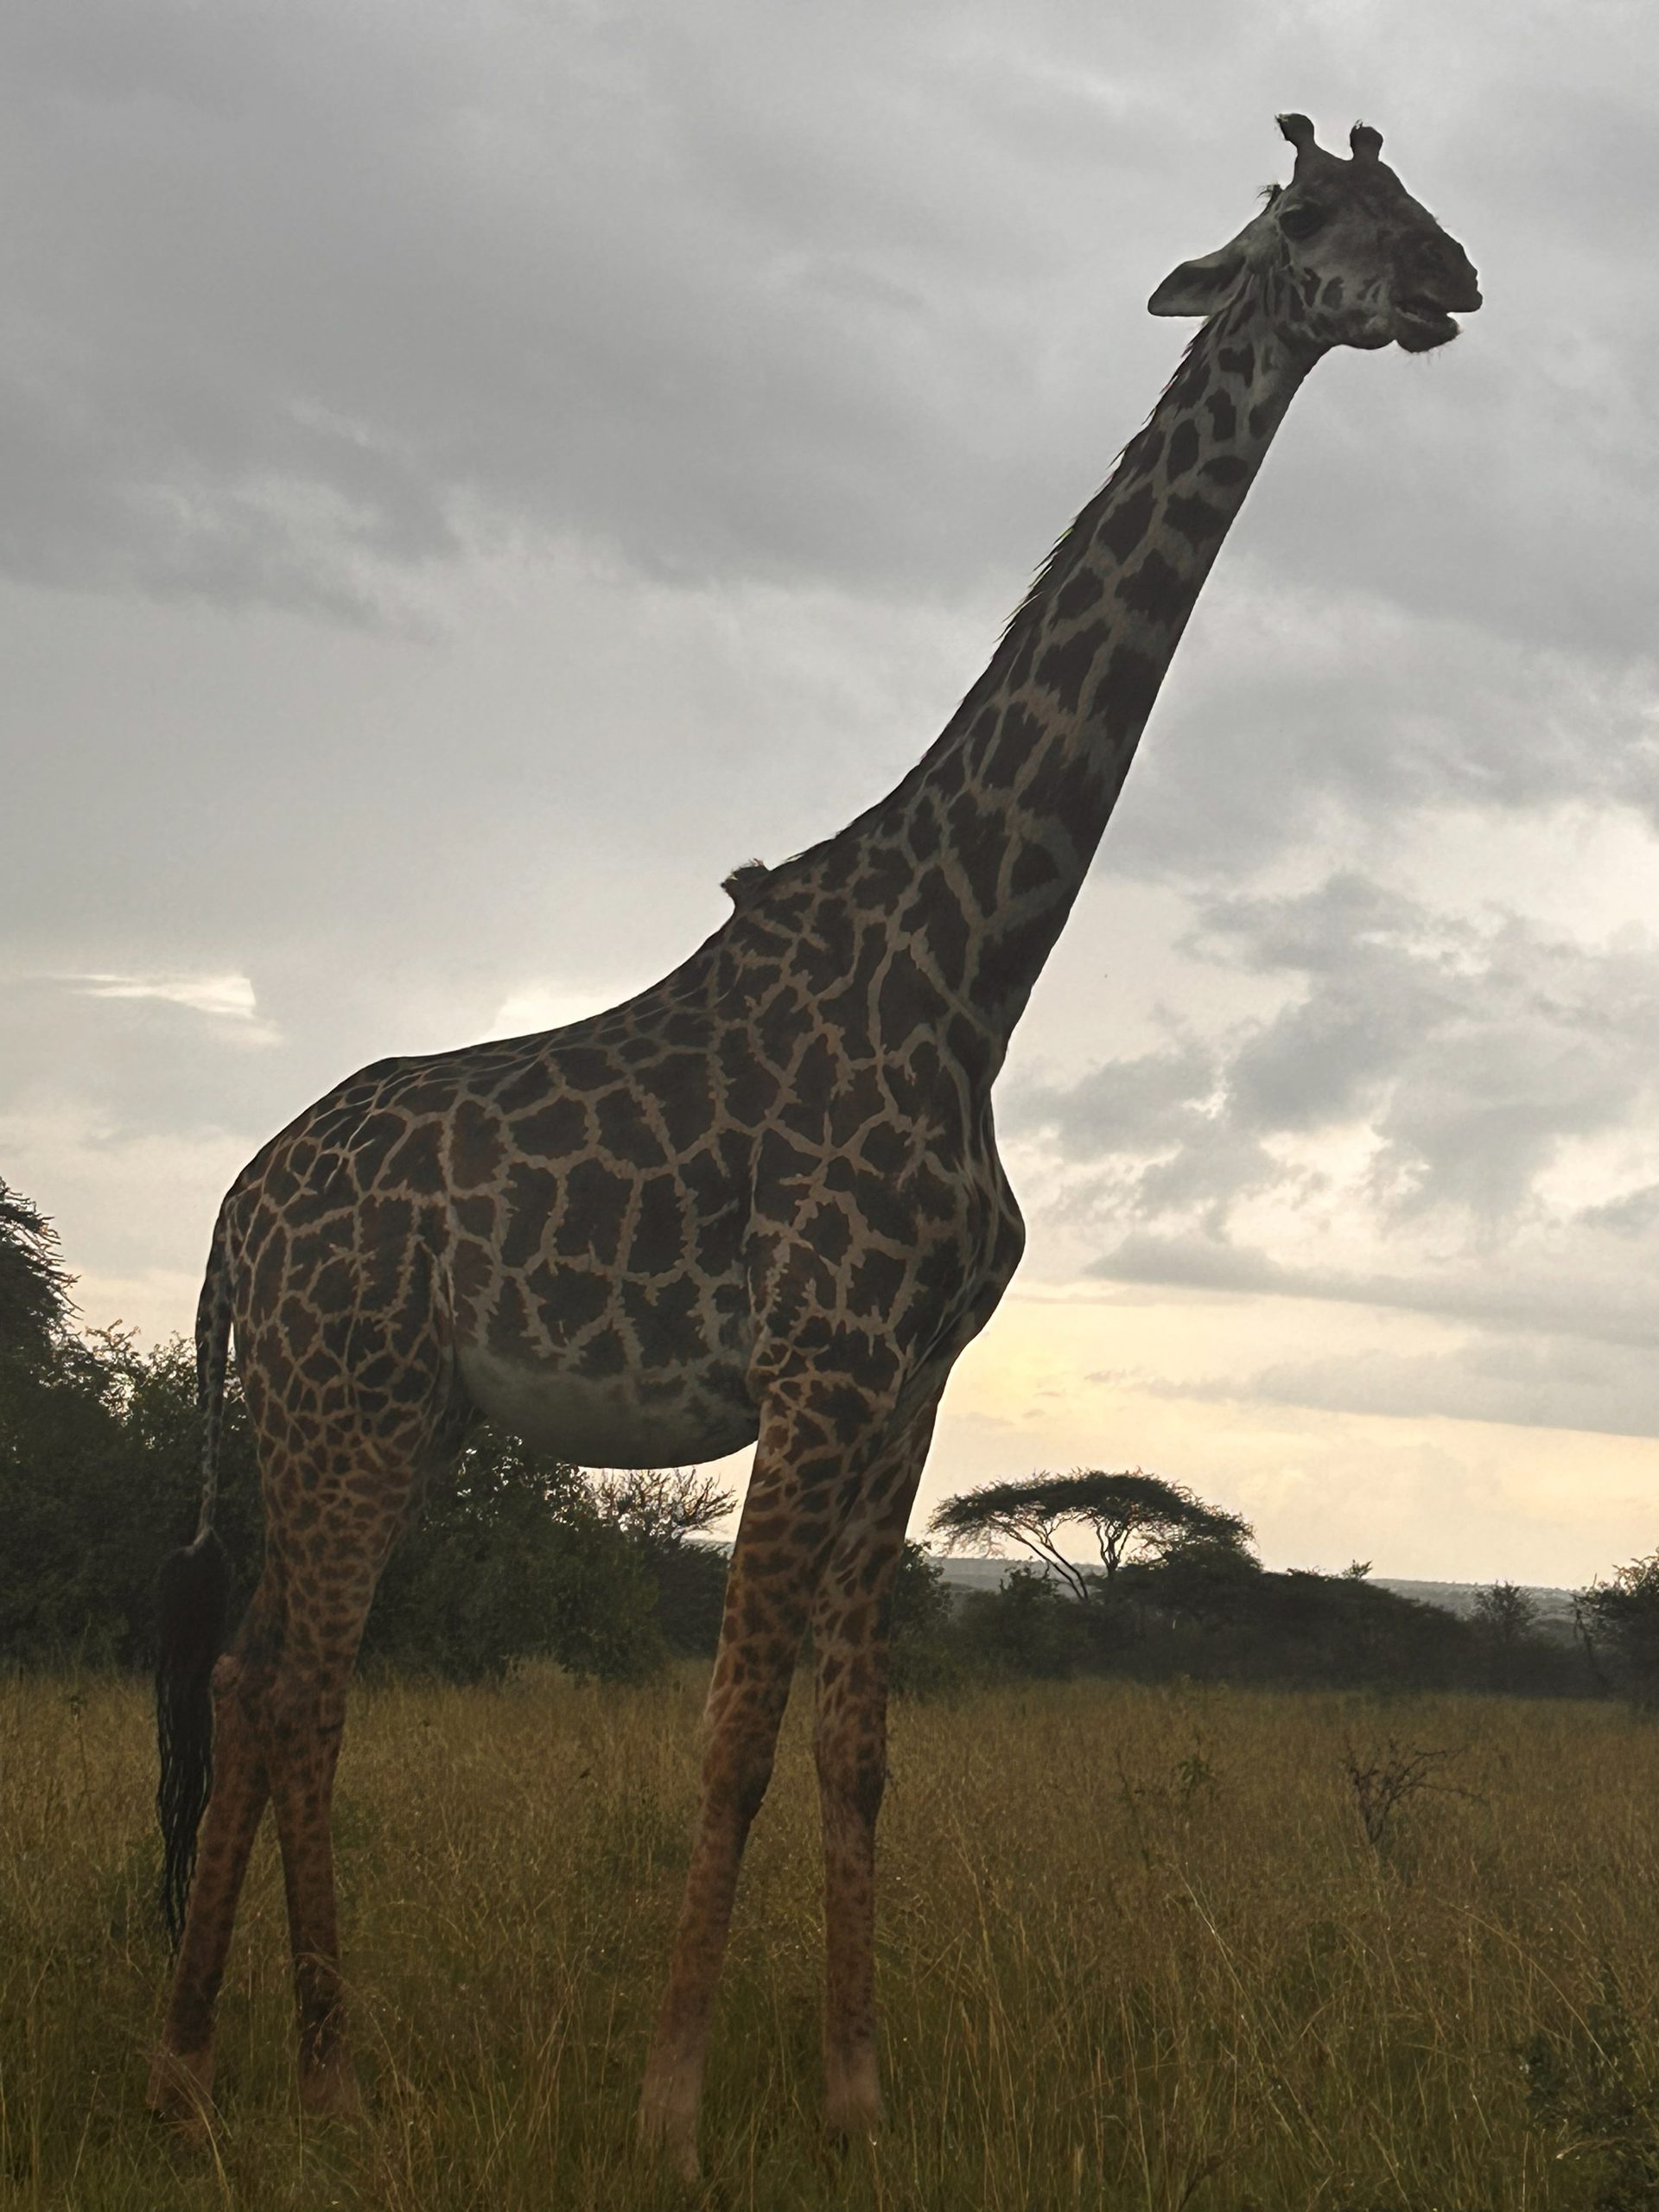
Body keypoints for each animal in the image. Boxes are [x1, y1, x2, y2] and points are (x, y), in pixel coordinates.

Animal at [148, 115, 1479, 2171]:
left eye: (1411, 203)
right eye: (1327, 213)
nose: (1460, 283)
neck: (973, 970)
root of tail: (231, 1214)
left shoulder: (913, 1377)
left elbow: (859, 1746)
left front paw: (857, 2096)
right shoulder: (819, 1352)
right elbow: (737, 1733)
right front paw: (671, 2107)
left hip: (362, 1408)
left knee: (243, 1670)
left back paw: (199, 2068)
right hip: (348, 1403)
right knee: (303, 1690)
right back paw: (329, 2074)